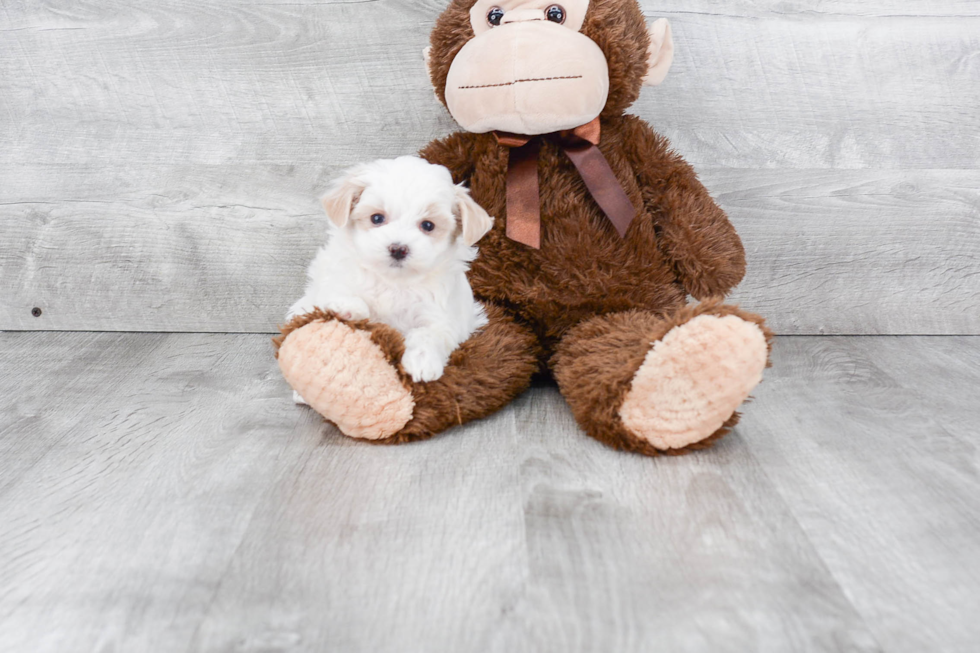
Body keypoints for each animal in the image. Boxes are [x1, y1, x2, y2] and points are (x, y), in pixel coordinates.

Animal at [288, 157, 494, 398]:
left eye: (428, 225)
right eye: (377, 218)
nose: (398, 249)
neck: (393, 281)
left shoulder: (440, 316)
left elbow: (428, 334)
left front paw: (423, 362)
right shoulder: (333, 275)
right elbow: (338, 291)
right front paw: (347, 307)